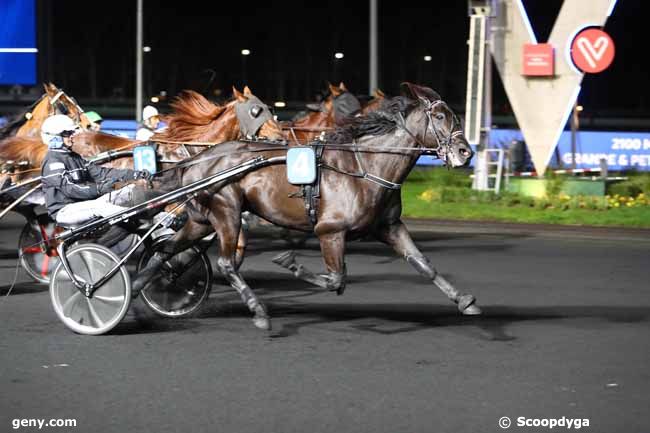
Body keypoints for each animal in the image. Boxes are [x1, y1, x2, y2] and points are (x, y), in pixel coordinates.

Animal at [133, 82, 476, 330]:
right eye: (441, 117)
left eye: (456, 115)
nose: (465, 152)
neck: (366, 167)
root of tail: (198, 157)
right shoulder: (329, 231)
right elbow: (336, 280)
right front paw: (289, 262)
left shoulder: (388, 226)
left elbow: (423, 264)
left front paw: (464, 300)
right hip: (226, 211)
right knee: (225, 263)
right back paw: (259, 312)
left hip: (202, 219)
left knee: (166, 252)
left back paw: (138, 288)